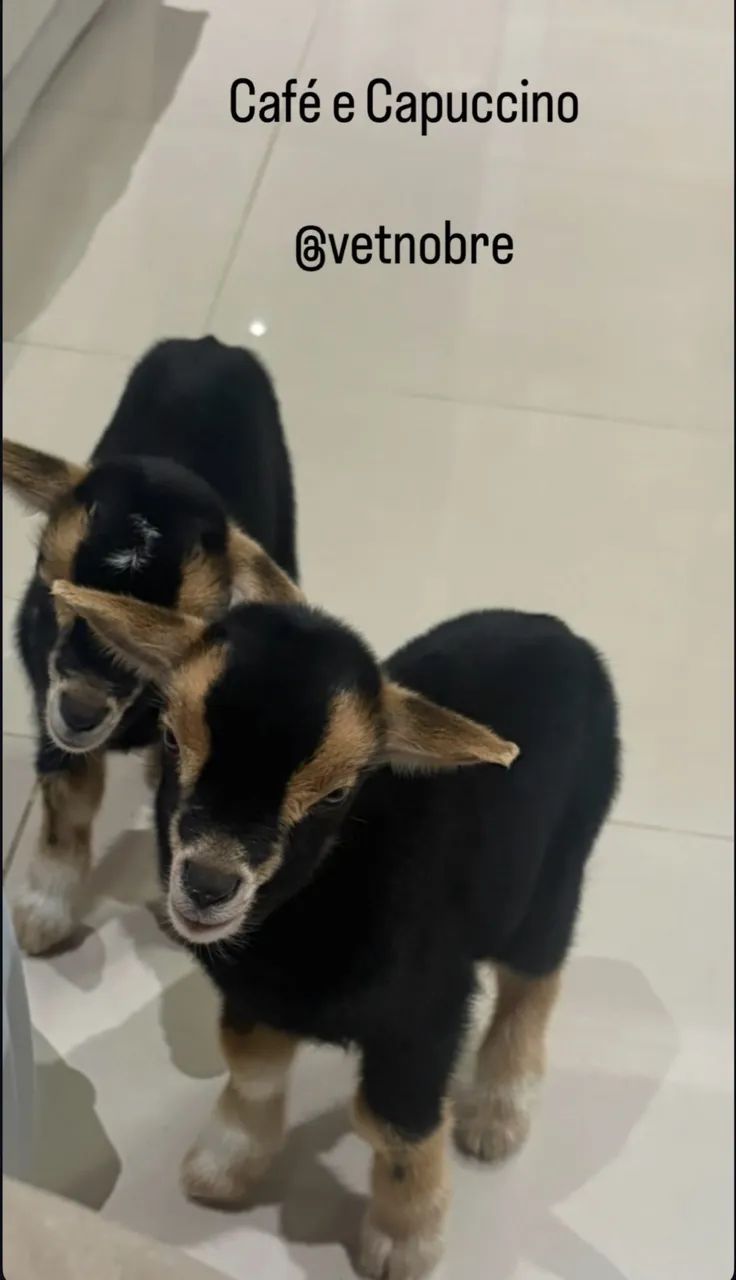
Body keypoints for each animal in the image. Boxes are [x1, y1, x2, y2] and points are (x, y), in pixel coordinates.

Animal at [2, 336, 297, 956]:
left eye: (174, 622)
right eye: (49, 589)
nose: (81, 712)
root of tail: (210, 344)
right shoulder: (48, 705)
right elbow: (69, 797)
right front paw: (43, 916)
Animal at [55, 565, 619, 1280]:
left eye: (336, 793)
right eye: (171, 739)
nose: (207, 886)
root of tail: (556, 630)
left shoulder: (425, 1015)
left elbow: (392, 1123)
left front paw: (403, 1243)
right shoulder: (253, 997)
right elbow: (251, 1065)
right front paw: (224, 1165)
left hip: (559, 866)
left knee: (536, 976)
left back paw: (497, 1116)